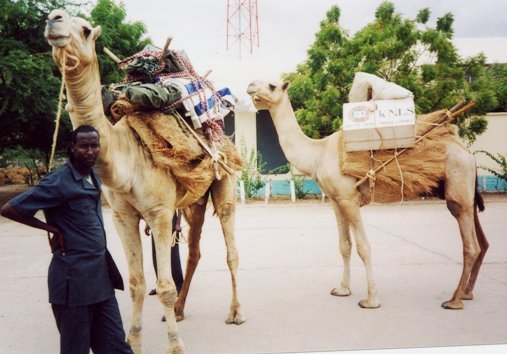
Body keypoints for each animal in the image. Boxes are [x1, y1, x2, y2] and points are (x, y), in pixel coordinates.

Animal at [44, 9, 247, 352]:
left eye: (84, 29)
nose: (52, 19)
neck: (124, 160)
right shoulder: (122, 215)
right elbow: (137, 283)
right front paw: (133, 341)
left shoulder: (160, 213)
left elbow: (163, 286)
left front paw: (175, 346)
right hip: (193, 202)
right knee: (194, 251)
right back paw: (178, 310)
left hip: (224, 184)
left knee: (231, 249)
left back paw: (235, 313)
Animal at [248, 79, 490, 310]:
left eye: (272, 85)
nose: (250, 86)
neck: (318, 153)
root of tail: (467, 153)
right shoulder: (336, 200)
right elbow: (344, 246)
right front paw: (342, 289)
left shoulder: (349, 199)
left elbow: (364, 247)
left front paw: (371, 300)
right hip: (467, 190)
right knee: (482, 242)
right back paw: (467, 293)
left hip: (458, 186)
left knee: (470, 245)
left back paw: (454, 300)